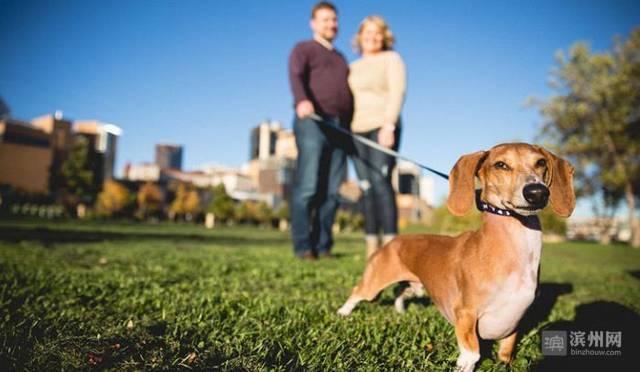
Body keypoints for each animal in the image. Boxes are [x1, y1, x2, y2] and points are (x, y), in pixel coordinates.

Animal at [338, 143, 576, 372]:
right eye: (501, 165)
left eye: (541, 162)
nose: (537, 192)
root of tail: (393, 241)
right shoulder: (465, 313)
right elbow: (472, 352)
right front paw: (464, 365)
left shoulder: (515, 321)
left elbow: (506, 350)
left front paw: (504, 362)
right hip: (374, 283)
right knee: (357, 292)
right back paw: (343, 312)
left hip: (415, 286)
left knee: (399, 292)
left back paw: (400, 311)